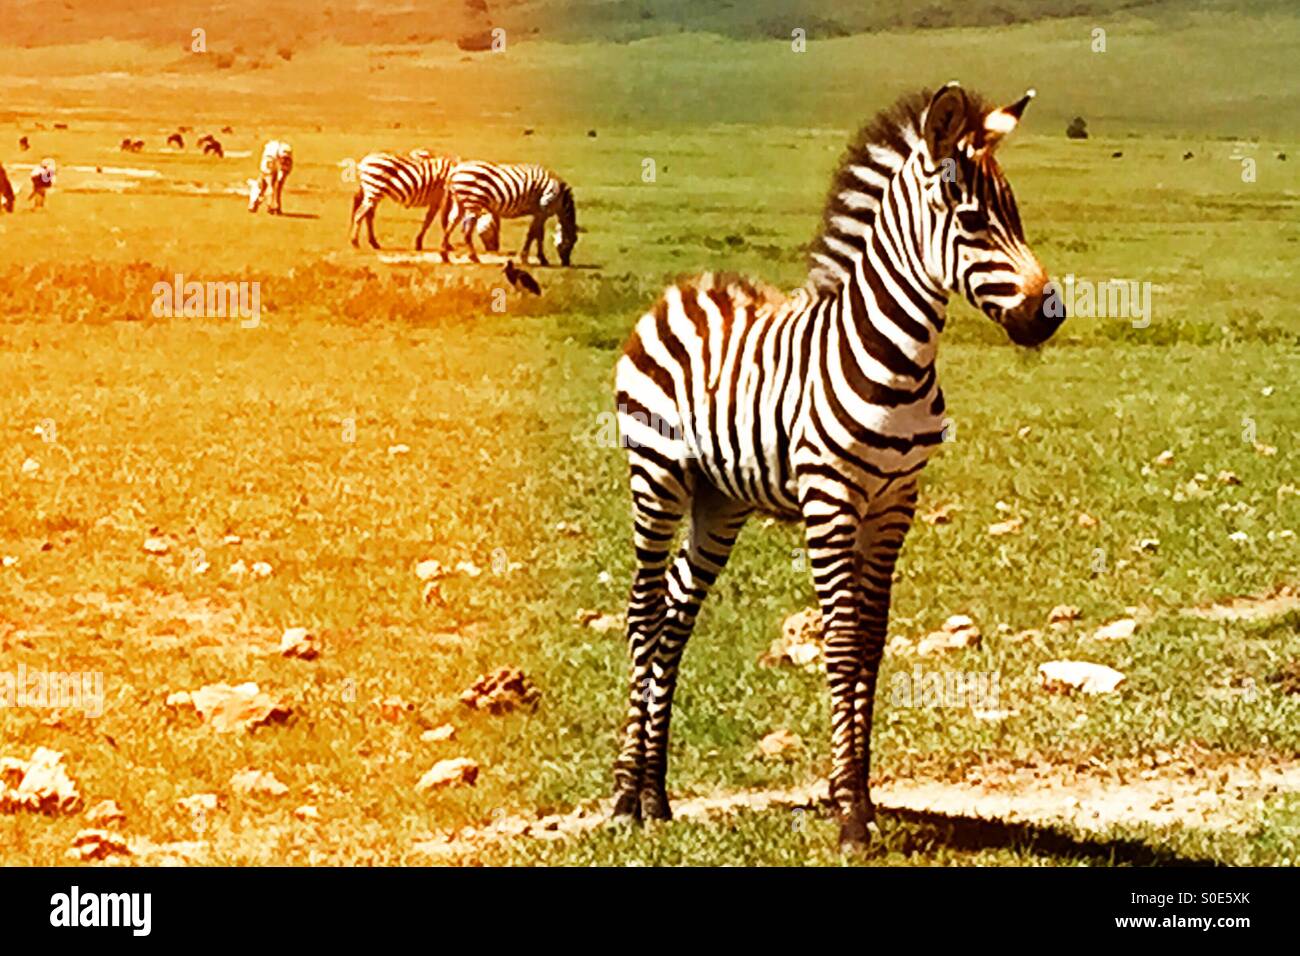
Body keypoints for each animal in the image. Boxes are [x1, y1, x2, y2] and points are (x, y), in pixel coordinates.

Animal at [438, 161, 576, 266]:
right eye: (570, 242)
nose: (566, 263)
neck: (561, 199)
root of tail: (455, 171)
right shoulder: (543, 210)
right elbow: (534, 234)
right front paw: (532, 258)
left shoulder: (539, 212)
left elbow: (537, 234)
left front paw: (539, 258)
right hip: (473, 202)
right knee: (466, 232)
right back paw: (474, 257)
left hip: (460, 203)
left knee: (450, 224)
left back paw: (444, 255)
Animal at [609, 84, 1064, 848]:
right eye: (972, 219)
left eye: (1017, 214)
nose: (1050, 314)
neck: (896, 359)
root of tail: (685, 290)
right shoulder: (830, 498)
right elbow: (844, 641)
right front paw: (850, 812)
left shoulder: (896, 501)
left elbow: (873, 643)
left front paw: (863, 797)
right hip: (658, 478)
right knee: (644, 614)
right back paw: (622, 798)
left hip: (719, 502)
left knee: (674, 616)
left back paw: (657, 795)